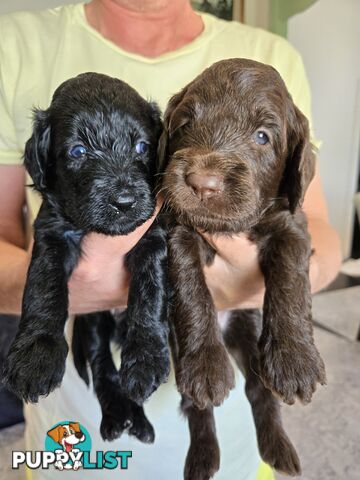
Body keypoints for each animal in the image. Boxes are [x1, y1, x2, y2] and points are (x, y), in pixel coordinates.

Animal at [3, 73, 170, 436]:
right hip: (94, 321)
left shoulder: (153, 233)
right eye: (78, 150)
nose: (124, 202)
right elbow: (44, 286)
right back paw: (118, 417)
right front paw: (36, 356)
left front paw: (146, 356)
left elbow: (150, 290)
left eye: (142, 147)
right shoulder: (52, 231)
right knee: (102, 363)